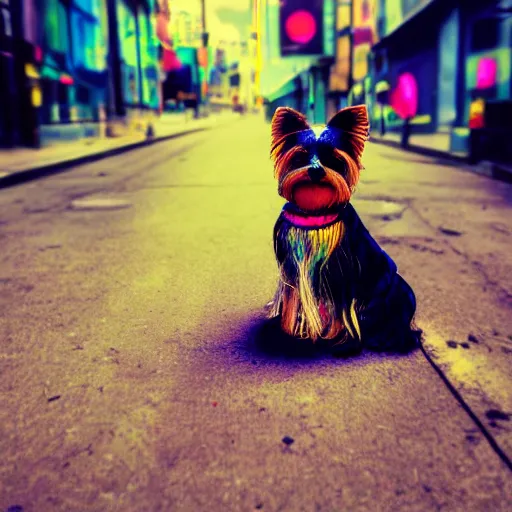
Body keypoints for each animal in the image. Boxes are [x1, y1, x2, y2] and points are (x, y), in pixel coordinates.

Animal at [266, 104, 418, 352]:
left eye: (333, 159)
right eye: (301, 156)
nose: (316, 170)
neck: (315, 209)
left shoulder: (340, 271)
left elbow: (339, 311)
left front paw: (336, 337)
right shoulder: (292, 266)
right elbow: (291, 299)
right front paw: (291, 328)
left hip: (394, 288)